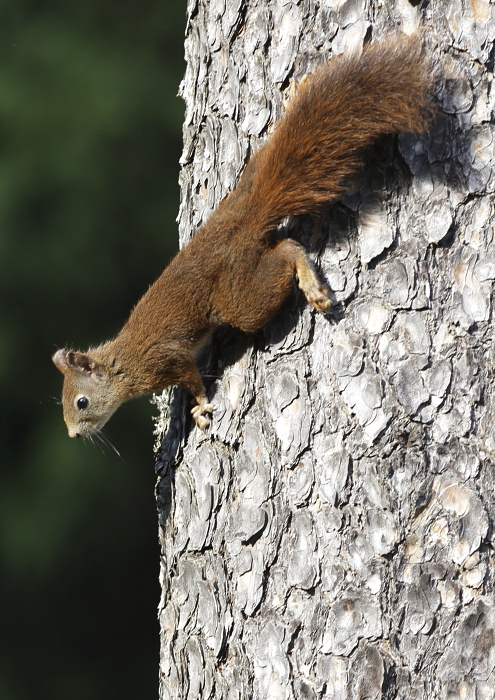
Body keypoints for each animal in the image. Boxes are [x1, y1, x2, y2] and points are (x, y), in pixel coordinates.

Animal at [53, 35, 434, 438]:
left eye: (81, 402)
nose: (74, 434)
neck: (123, 363)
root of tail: (246, 219)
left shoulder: (164, 358)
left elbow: (191, 378)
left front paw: (200, 407)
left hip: (239, 297)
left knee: (286, 251)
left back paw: (308, 281)